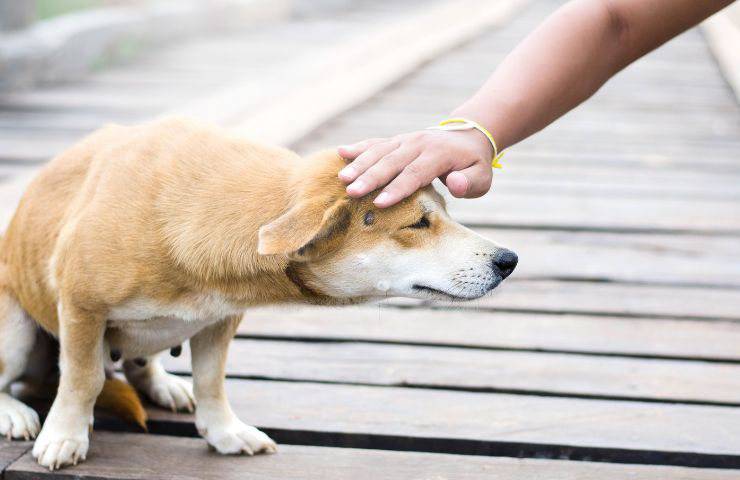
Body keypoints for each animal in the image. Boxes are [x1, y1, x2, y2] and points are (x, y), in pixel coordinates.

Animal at [0, 116, 516, 468]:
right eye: (418, 224)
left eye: (444, 214)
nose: (508, 260)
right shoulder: (80, 306)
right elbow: (83, 378)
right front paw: (66, 435)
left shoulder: (218, 319)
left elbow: (211, 382)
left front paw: (224, 432)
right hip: (14, 333)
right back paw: (15, 413)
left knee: (139, 363)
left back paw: (163, 384)